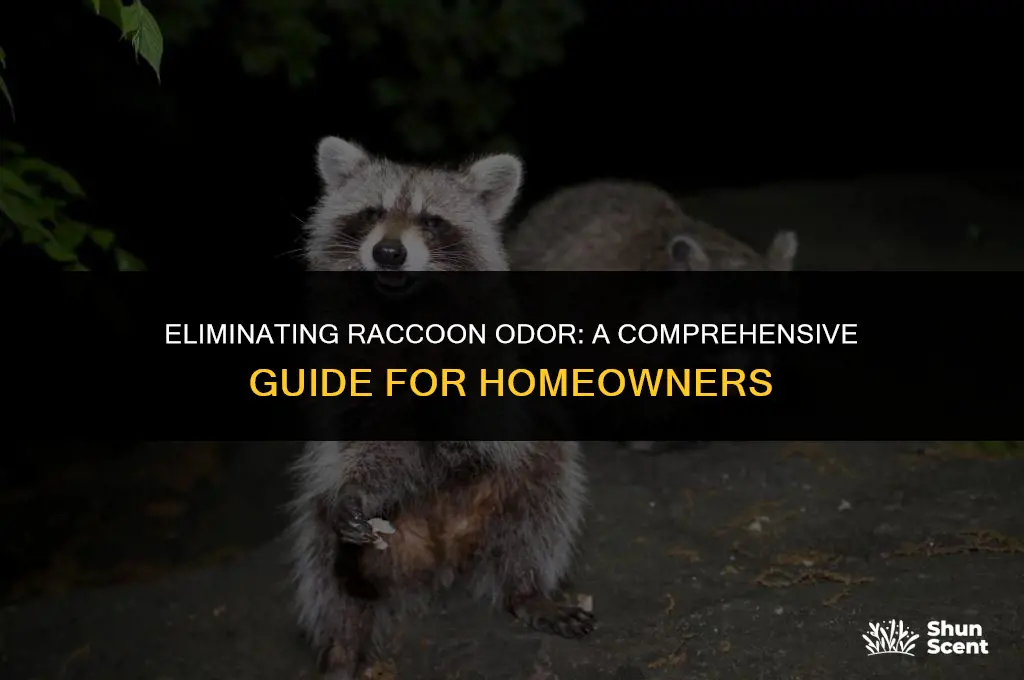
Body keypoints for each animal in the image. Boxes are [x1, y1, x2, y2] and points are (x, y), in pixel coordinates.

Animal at [291, 137, 594, 680]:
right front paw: (359, 486)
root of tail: (441, 552)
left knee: (544, 501)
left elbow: (492, 423)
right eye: (372, 213)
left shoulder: (490, 360)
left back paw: (528, 587)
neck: (401, 310)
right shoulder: (347, 370)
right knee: (326, 555)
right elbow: (363, 446)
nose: (389, 253)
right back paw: (343, 642)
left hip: (521, 492)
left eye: (431, 220)